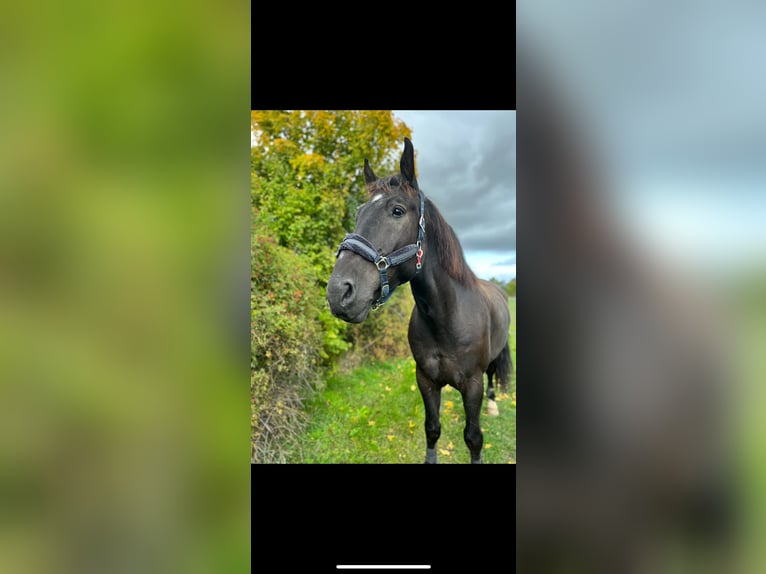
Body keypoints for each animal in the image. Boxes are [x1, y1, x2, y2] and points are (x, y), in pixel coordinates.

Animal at [326, 140, 512, 468]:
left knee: (492, 376)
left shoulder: (472, 384)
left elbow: (473, 438)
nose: (340, 292)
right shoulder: (425, 379)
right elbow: (432, 429)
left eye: (397, 211)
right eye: (359, 212)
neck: (447, 317)